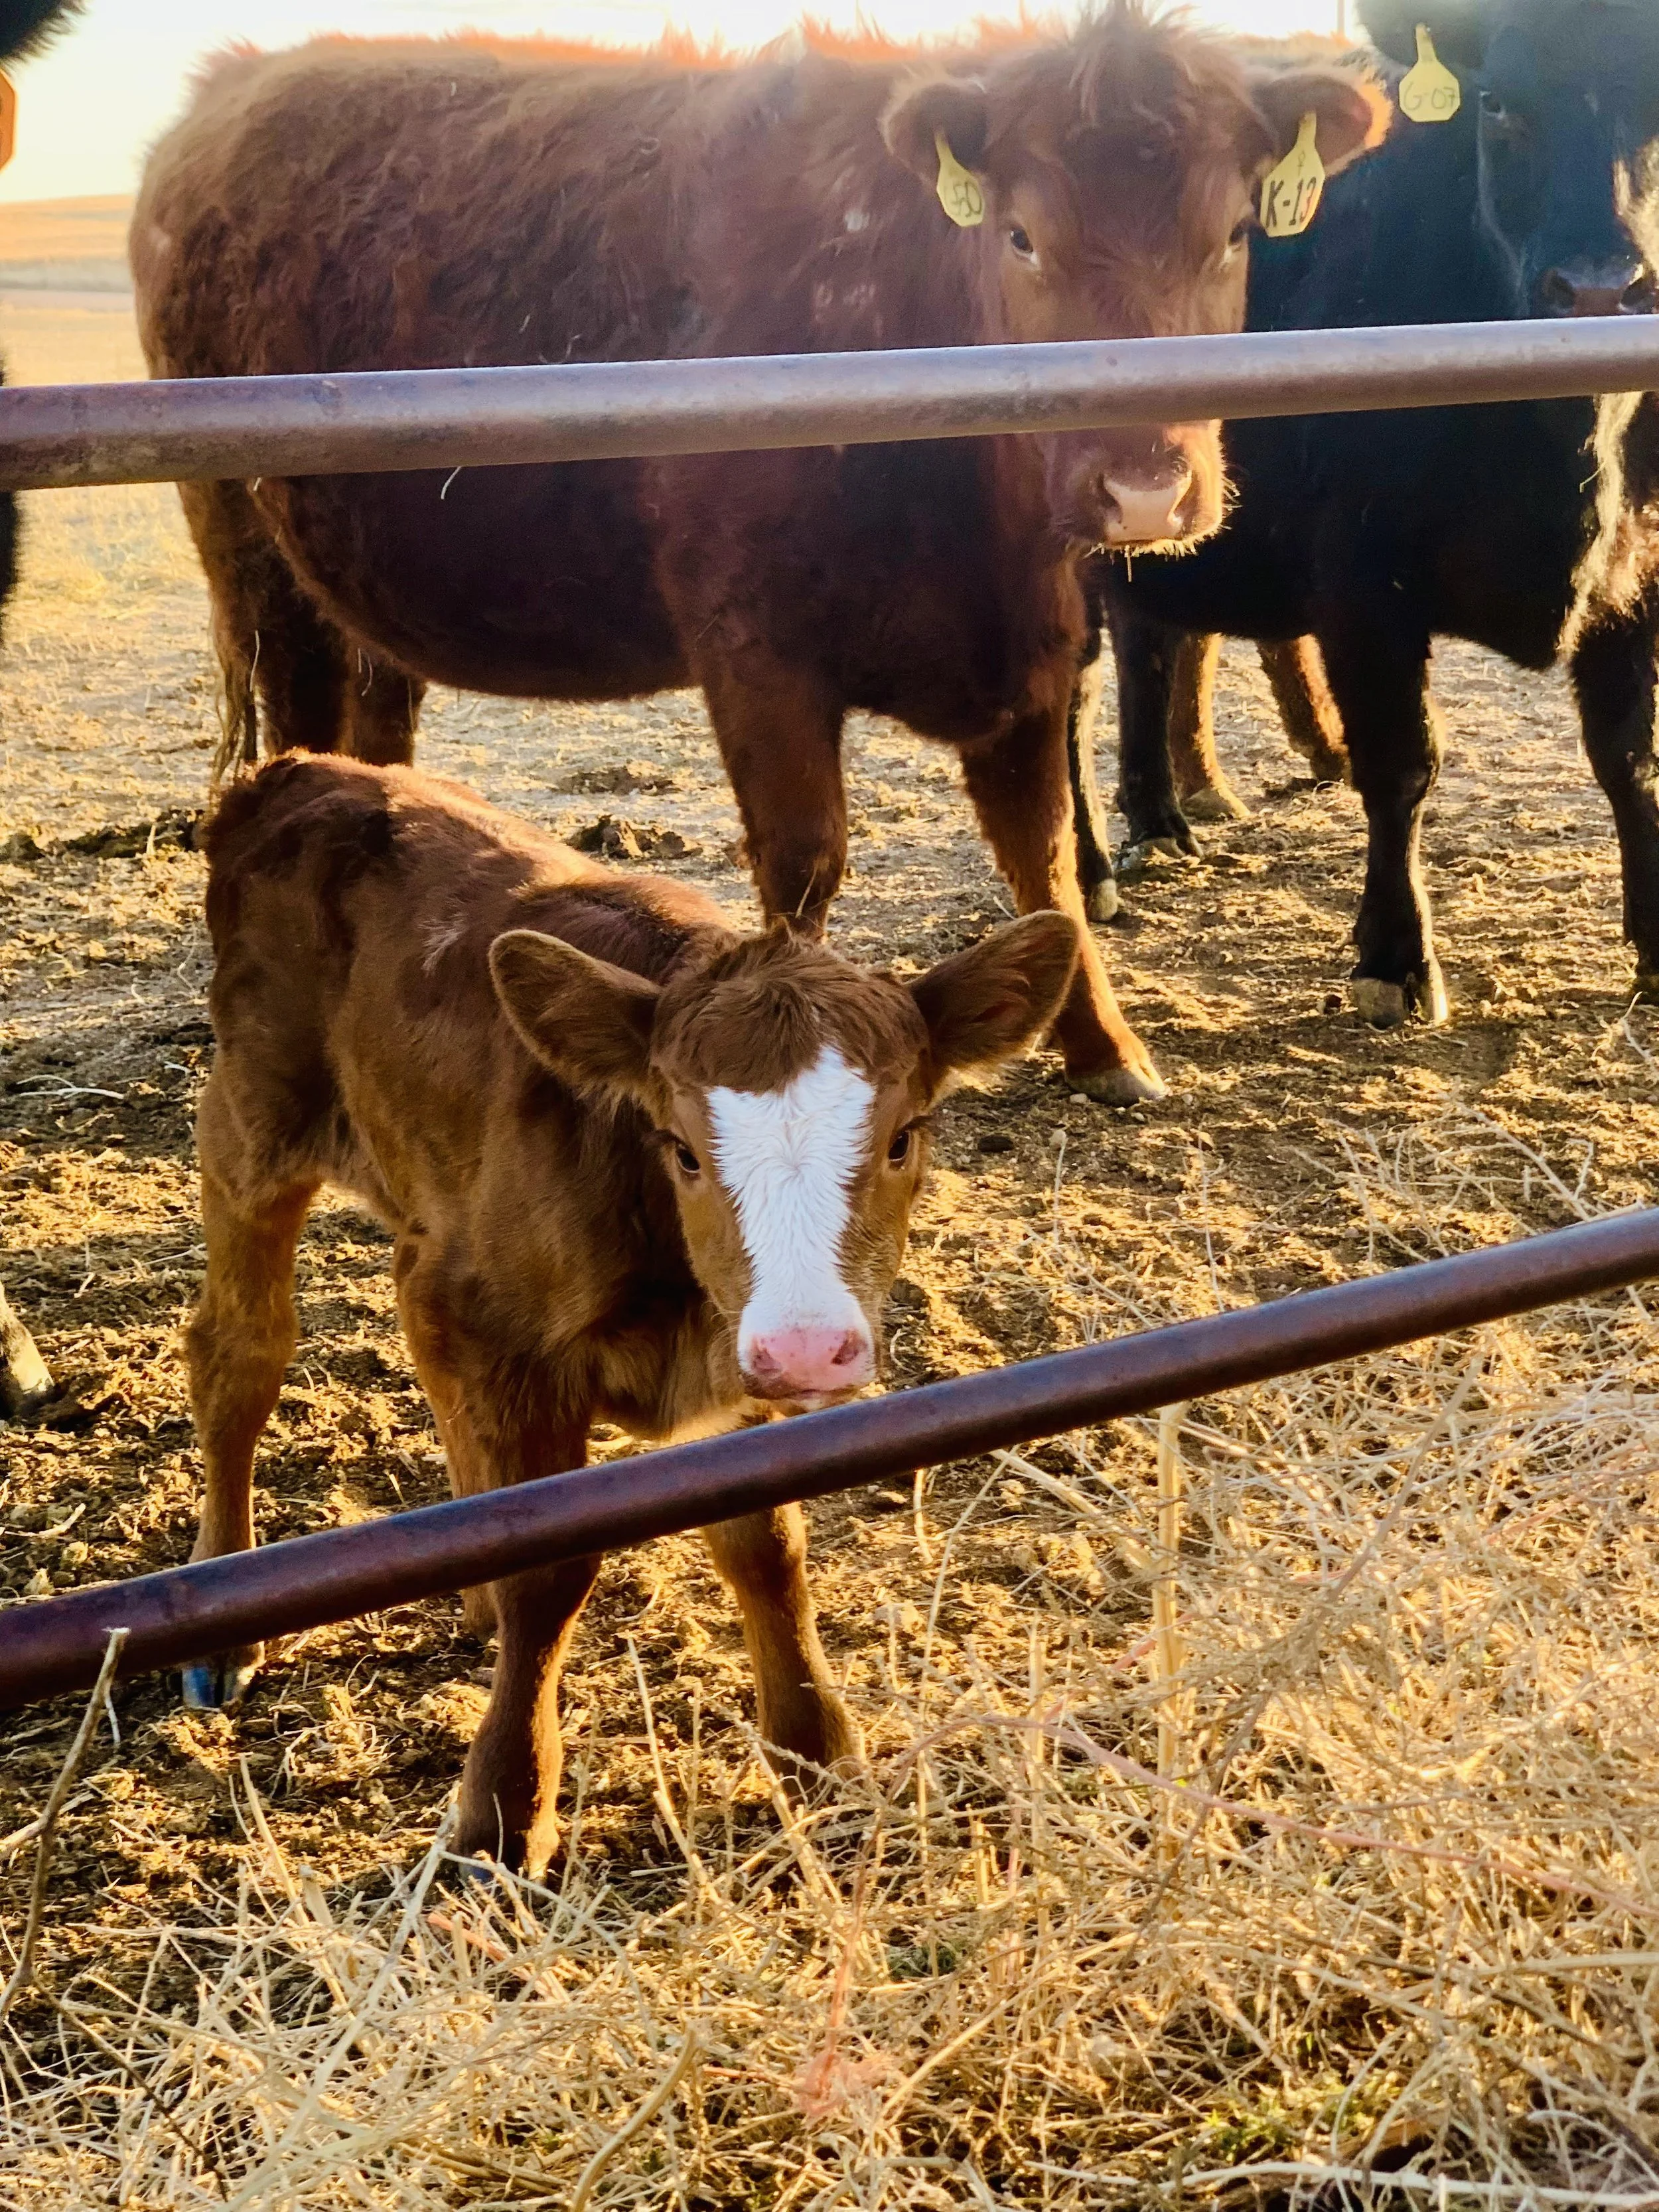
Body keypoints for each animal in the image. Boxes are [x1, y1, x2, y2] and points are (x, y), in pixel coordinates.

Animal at [130, 13, 1385, 1108]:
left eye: (1234, 235)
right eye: (1022, 236)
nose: (1142, 486)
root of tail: (235, 89)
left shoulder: (1033, 648)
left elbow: (1048, 865)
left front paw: (1106, 1048)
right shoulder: (757, 651)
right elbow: (804, 866)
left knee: (377, 734)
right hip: (249, 549)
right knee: (298, 731)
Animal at [185, 754, 1079, 1873]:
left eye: (905, 1135)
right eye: (682, 1147)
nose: (811, 1347)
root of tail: (300, 771)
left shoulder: (725, 1351)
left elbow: (766, 1548)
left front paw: (816, 1751)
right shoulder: (510, 1336)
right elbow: (549, 1566)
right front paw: (503, 1811)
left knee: (410, 1320)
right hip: (254, 1118)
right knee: (239, 1353)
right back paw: (223, 1619)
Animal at [1075, 0, 1659, 1024]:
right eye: (1496, 103)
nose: (1600, 289)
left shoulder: (1637, 579)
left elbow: (1628, 759)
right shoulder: (1363, 588)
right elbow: (1399, 762)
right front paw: (1394, 957)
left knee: (1151, 646)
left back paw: (1162, 819)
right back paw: (1088, 868)